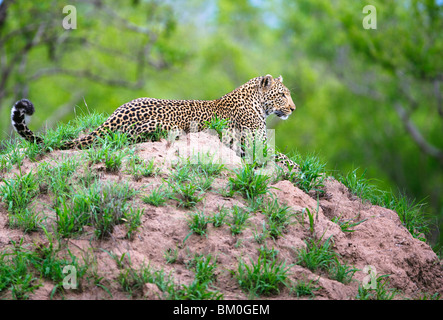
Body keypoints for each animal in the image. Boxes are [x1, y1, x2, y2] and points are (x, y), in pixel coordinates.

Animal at [11, 74, 298, 169]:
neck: (257, 102)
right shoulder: (257, 145)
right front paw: (302, 171)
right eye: (283, 94)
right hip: (161, 125)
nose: (293, 109)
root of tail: (114, 116)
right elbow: (287, 160)